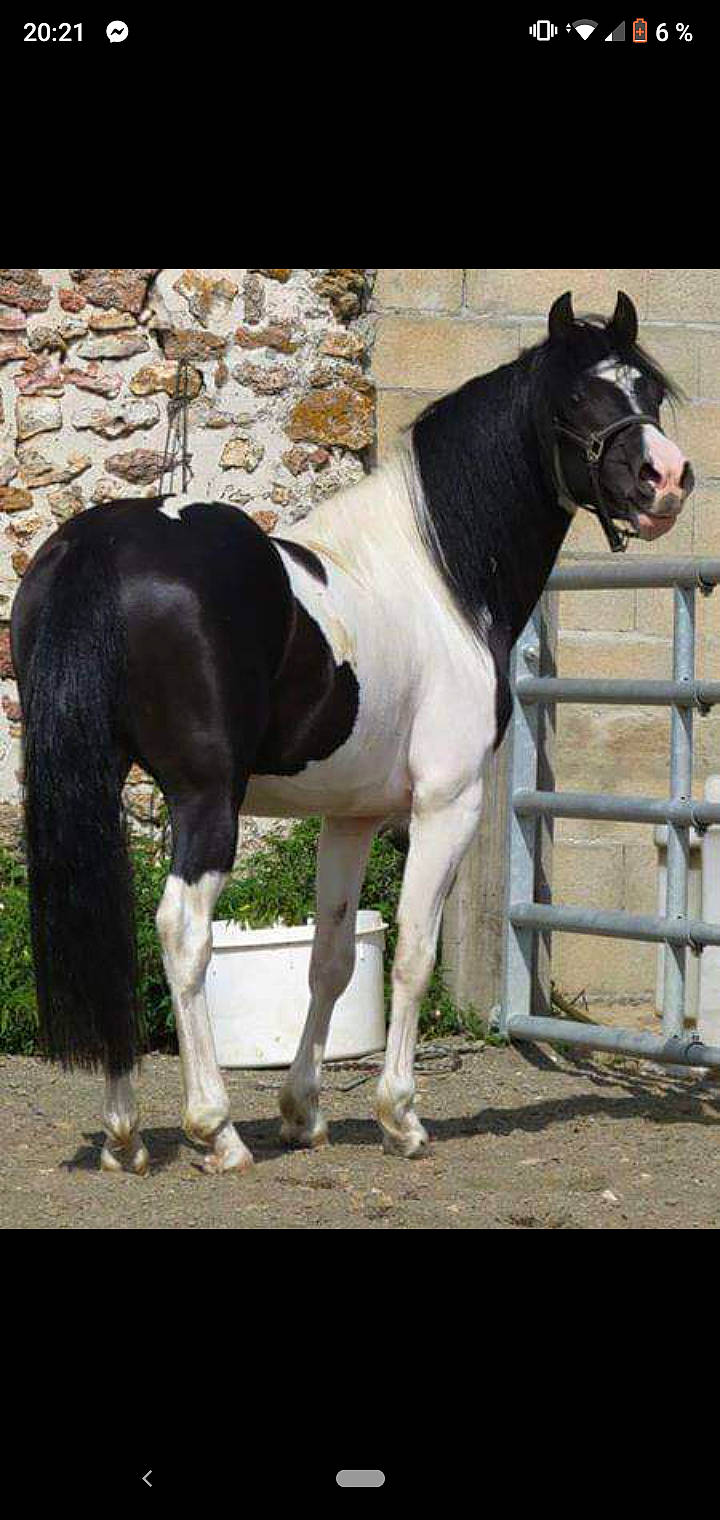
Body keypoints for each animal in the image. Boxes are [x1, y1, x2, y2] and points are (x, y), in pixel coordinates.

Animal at [9, 289, 694, 1176]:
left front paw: (303, 1112)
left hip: (92, 783)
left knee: (108, 934)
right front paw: (400, 1115)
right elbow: (411, 954)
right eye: (577, 396)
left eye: (648, 390)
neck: (439, 579)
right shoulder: (447, 806)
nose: (666, 479)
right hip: (206, 802)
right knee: (182, 934)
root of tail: (103, 541)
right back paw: (213, 1129)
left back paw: (124, 1134)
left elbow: (331, 962)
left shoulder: (351, 816)